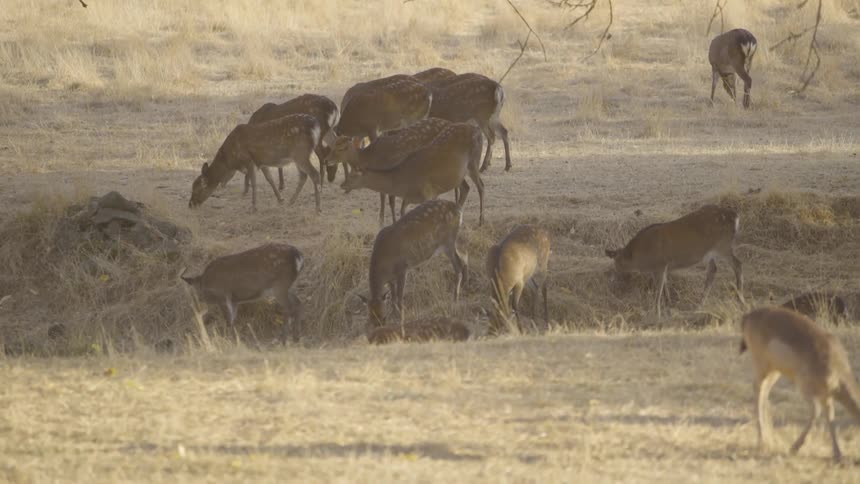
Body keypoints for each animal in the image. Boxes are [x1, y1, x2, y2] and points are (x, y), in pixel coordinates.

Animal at [189, 113, 322, 212]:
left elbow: (253, 182)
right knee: (303, 176)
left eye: (197, 189)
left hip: (301, 153)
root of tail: (315, 126)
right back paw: (291, 201)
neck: (230, 161)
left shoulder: (248, 160)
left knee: (315, 174)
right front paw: (280, 199)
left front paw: (253, 207)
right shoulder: (261, 162)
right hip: (297, 157)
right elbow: (270, 179)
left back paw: (317, 208)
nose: (190, 205)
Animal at [340, 122, 486, 225]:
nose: (342, 185)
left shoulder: (428, 193)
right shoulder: (410, 198)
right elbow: (402, 211)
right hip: (459, 174)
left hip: (474, 162)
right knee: (466, 188)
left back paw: (480, 221)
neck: (404, 183)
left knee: (481, 186)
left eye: (353, 175)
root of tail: (478, 129)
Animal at [358, 199, 468, 332]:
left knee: (458, 265)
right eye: (370, 318)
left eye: (384, 318)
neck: (383, 264)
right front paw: (395, 313)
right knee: (463, 257)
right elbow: (393, 296)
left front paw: (401, 316)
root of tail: (458, 209)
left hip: (448, 242)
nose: (379, 329)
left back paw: (455, 299)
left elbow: (399, 297)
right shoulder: (391, 277)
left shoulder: (402, 267)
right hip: (451, 243)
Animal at [604, 204, 743, 318]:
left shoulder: (660, 264)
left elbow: (658, 291)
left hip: (723, 245)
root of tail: (735, 216)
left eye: (616, 262)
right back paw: (700, 304)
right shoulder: (663, 267)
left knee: (738, 264)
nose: (612, 277)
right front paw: (668, 308)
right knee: (713, 270)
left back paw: (740, 300)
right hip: (711, 252)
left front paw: (657, 313)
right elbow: (665, 287)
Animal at [739, 306, 860, 462]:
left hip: (775, 369)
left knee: (764, 391)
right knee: (758, 389)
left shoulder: (826, 395)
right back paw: (763, 441)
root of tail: (746, 318)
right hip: (761, 362)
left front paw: (838, 454)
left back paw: (769, 436)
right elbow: (817, 412)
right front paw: (794, 448)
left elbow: (830, 417)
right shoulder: (805, 385)